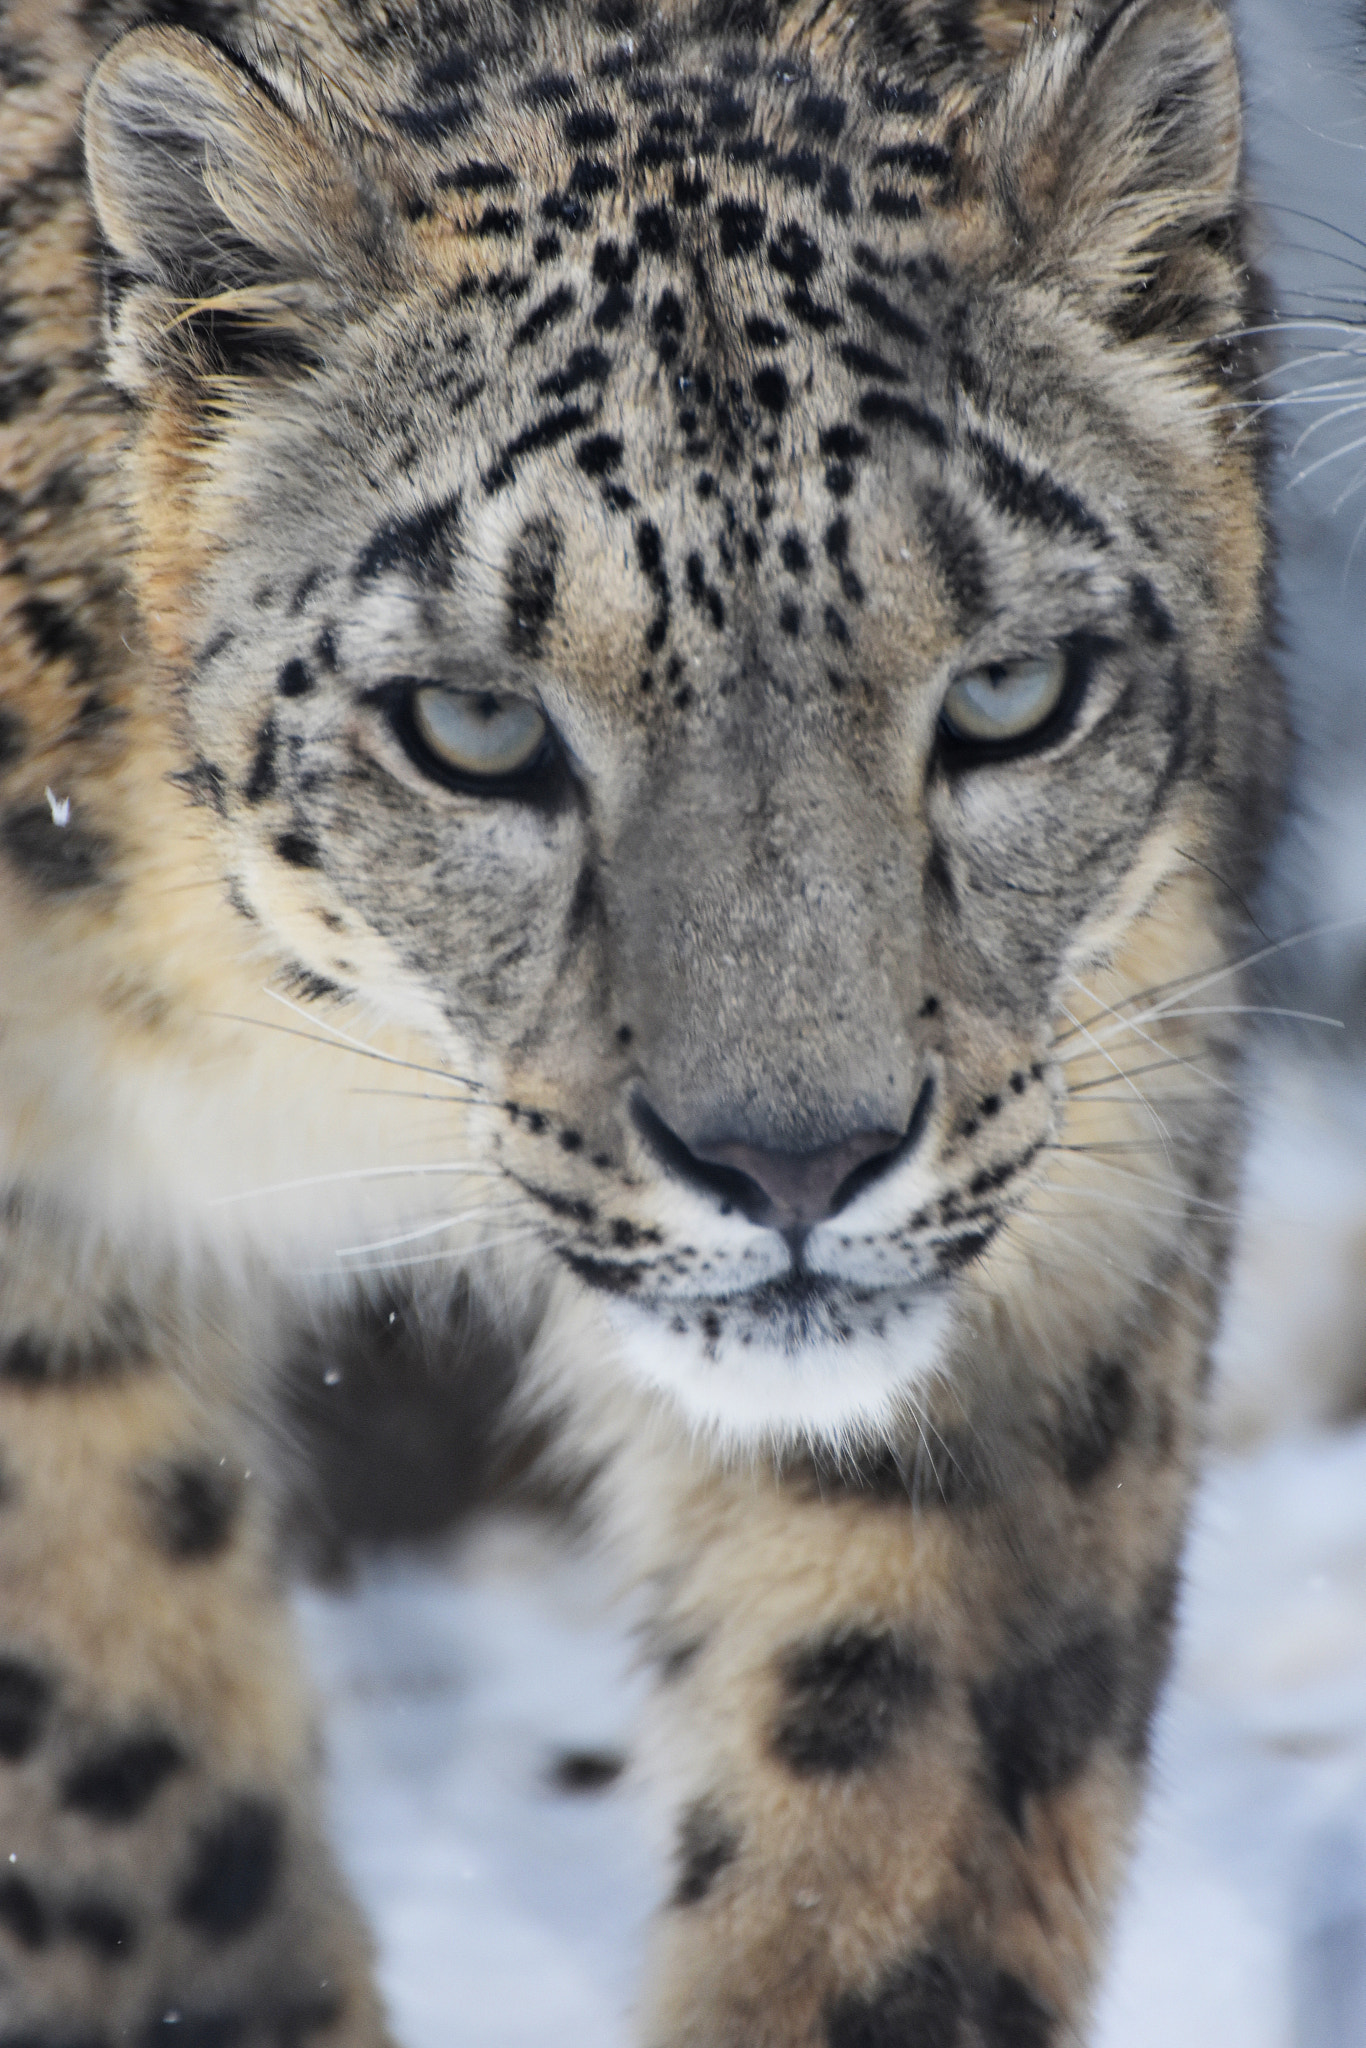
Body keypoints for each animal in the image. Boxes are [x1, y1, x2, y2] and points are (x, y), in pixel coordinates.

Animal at [0, 0, 1282, 2041]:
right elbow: (128, 1774)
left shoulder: (1086, 1176)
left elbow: (892, 1799)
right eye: (475, 724)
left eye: (1009, 691)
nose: (795, 1161)